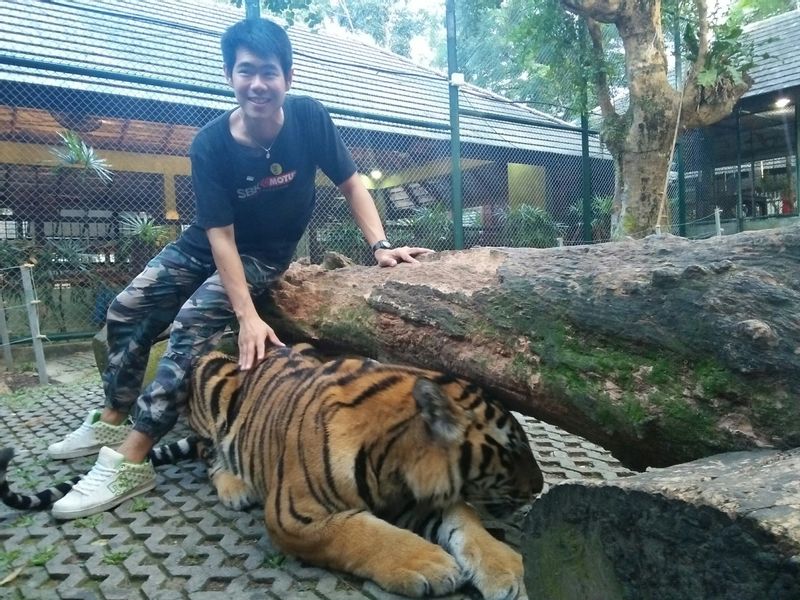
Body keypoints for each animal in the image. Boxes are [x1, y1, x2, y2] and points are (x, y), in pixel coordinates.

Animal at [0, 344, 544, 596]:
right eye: (512, 448)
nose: (539, 487)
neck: (394, 464)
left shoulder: (420, 501)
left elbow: (466, 523)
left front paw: (505, 569)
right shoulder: (296, 517)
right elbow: (363, 534)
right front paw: (427, 564)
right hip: (213, 389)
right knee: (207, 453)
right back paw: (234, 485)